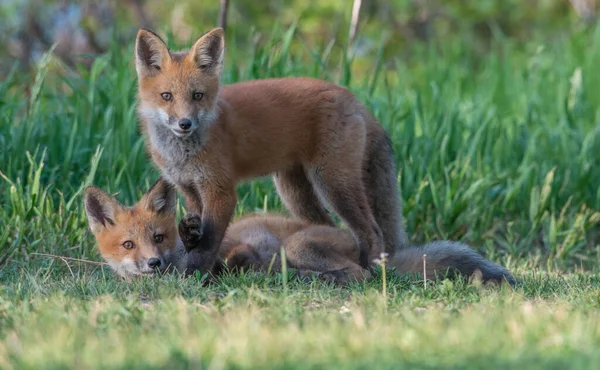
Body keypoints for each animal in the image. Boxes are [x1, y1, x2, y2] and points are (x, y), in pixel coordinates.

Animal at [135, 26, 406, 268]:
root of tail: (354, 99)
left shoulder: (220, 191)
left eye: (197, 96)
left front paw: (196, 275)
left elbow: (208, 244)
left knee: (371, 230)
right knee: (328, 226)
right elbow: (198, 236)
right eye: (167, 96)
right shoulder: (190, 190)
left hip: (332, 181)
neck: (182, 155)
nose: (185, 123)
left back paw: (370, 270)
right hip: (294, 192)